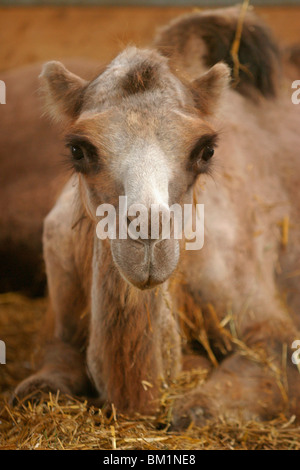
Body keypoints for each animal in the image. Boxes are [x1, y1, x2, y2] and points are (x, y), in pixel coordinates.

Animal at [12, 7, 300, 426]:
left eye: (206, 150)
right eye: (78, 149)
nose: (148, 232)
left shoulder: (270, 328)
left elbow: (195, 410)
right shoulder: (58, 314)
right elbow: (35, 389)